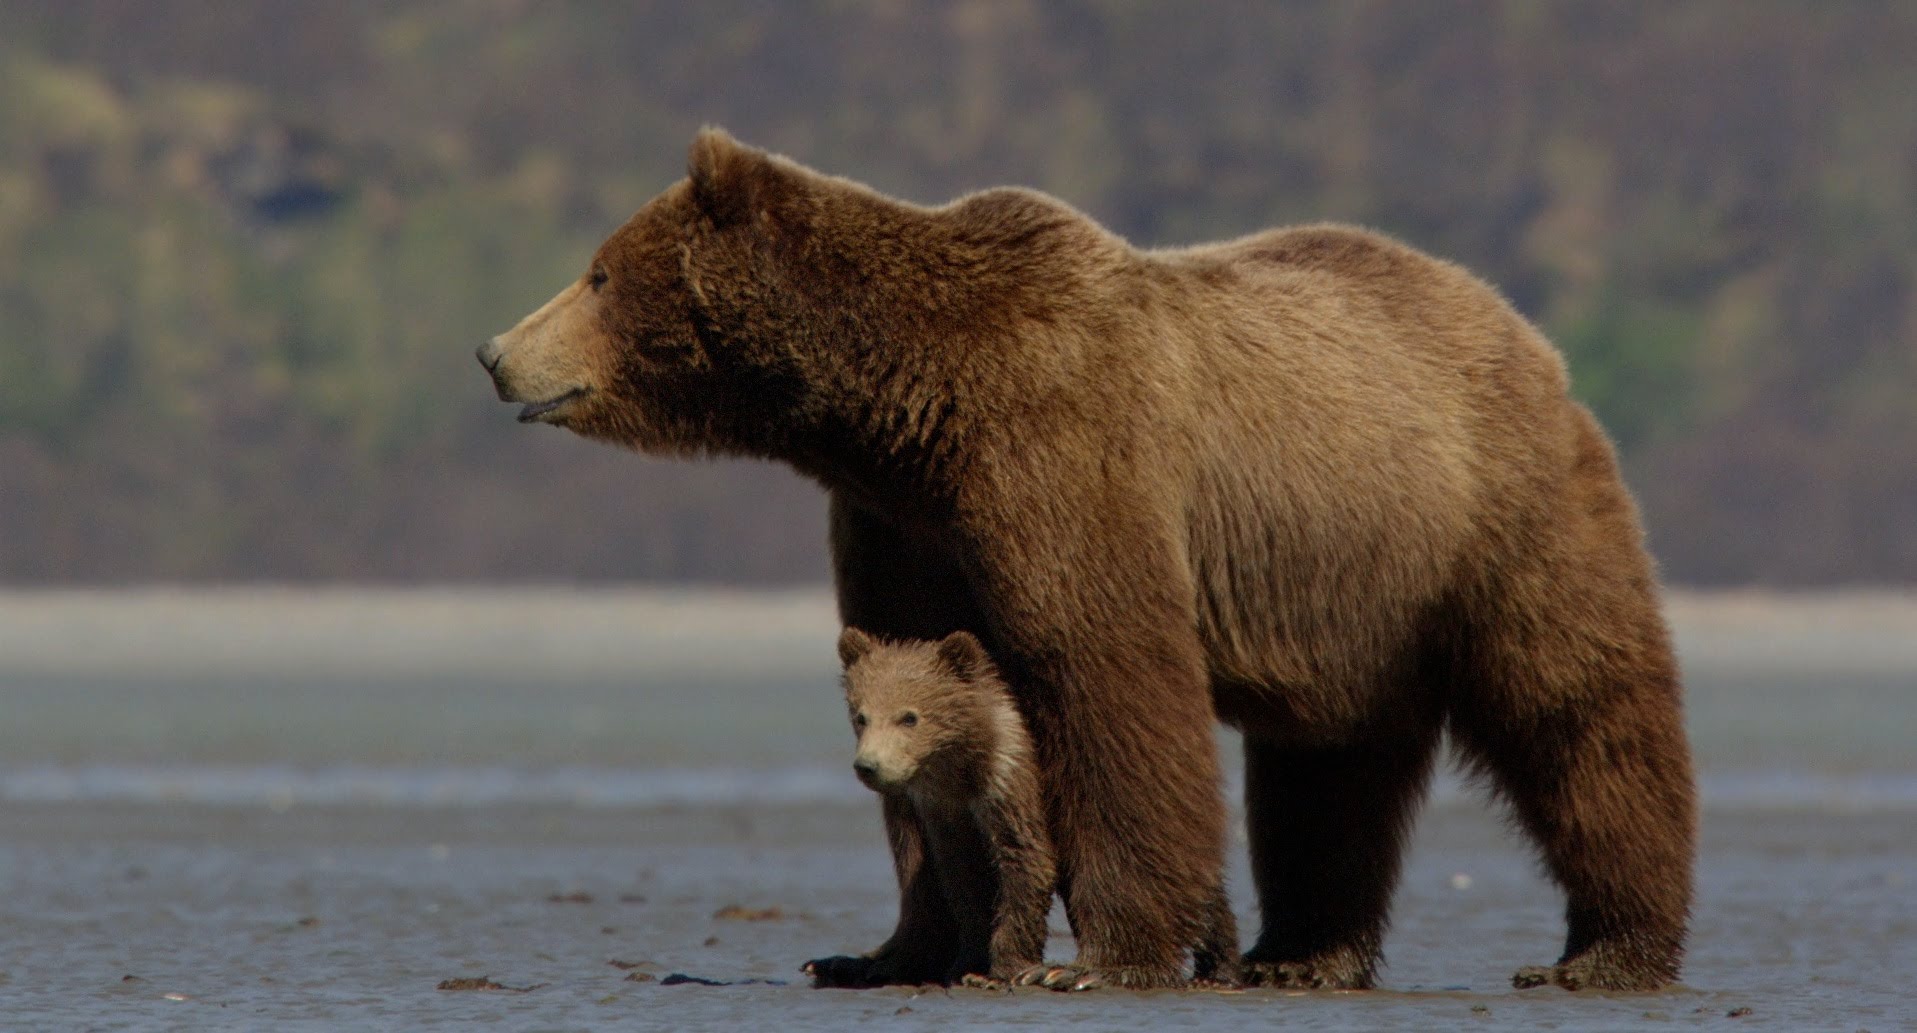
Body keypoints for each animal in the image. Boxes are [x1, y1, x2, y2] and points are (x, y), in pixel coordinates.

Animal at [804, 627, 1241, 990]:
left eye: (909, 717)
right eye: (861, 715)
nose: (869, 766)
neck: (961, 769)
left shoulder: (1010, 787)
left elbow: (1026, 864)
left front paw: (1002, 970)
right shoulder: (945, 814)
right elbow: (964, 882)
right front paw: (967, 960)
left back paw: (1217, 969)